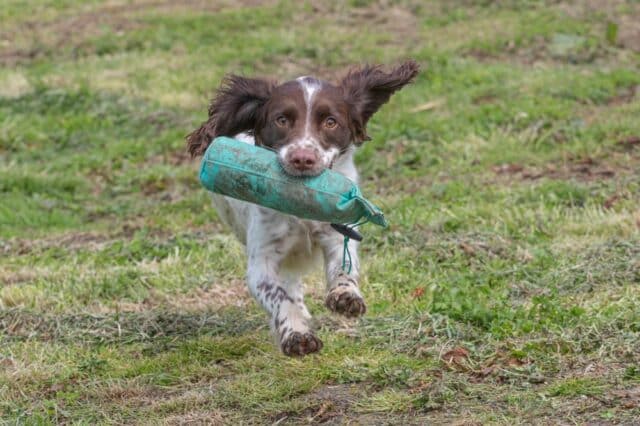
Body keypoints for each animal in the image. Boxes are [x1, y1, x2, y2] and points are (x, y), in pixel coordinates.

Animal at [188, 59, 418, 352]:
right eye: (282, 120)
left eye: (331, 122)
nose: (302, 158)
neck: (301, 208)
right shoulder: (262, 258)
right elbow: (278, 296)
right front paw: (296, 334)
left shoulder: (337, 234)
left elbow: (345, 267)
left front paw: (346, 296)